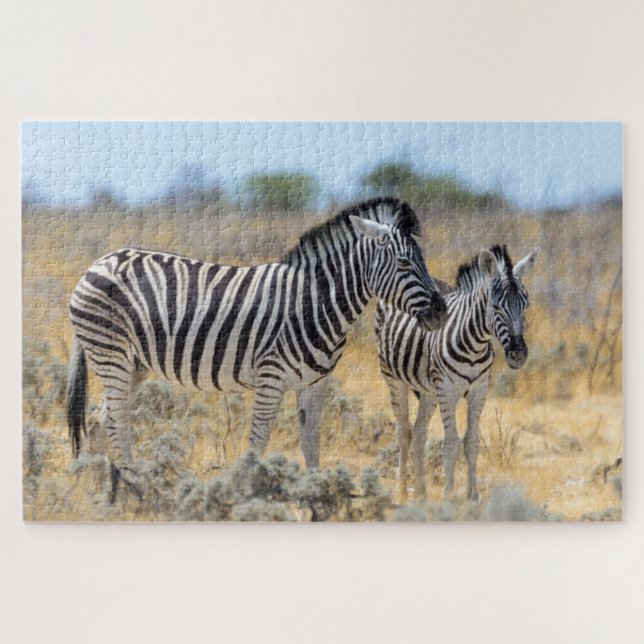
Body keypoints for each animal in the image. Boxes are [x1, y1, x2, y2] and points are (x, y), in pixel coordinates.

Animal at [67, 197, 448, 468]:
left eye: (422, 259)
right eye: (404, 263)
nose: (442, 311)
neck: (314, 300)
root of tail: (95, 264)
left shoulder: (316, 383)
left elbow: (311, 444)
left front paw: (315, 497)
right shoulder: (271, 377)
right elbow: (258, 441)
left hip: (134, 364)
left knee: (99, 419)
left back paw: (105, 489)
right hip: (111, 353)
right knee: (115, 420)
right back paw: (131, 482)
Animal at [375, 244, 539, 502]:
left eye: (526, 305)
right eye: (496, 306)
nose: (518, 354)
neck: (474, 345)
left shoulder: (479, 391)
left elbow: (471, 441)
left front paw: (473, 497)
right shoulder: (447, 391)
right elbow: (450, 443)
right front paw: (448, 497)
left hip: (428, 389)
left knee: (419, 433)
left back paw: (421, 494)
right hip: (394, 377)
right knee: (403, 432)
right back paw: (402, 493)